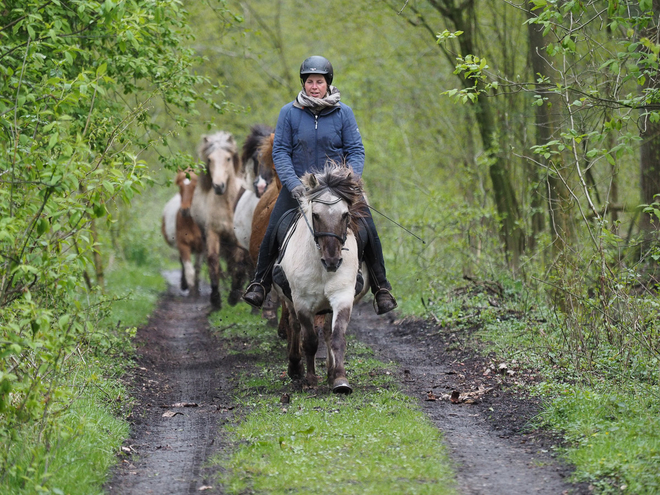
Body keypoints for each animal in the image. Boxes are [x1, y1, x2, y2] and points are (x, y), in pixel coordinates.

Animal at [270, 163, 368, 396]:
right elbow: (310, 341)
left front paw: (340, 379)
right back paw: (295, 367)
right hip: (289, 299)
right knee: (294, 326)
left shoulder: (342, 297)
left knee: (327, 333)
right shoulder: (303, 303)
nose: (332, 261)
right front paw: (310, 380)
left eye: (345, 214)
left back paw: (331, 373)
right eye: (315, 215)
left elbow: (337, 337)